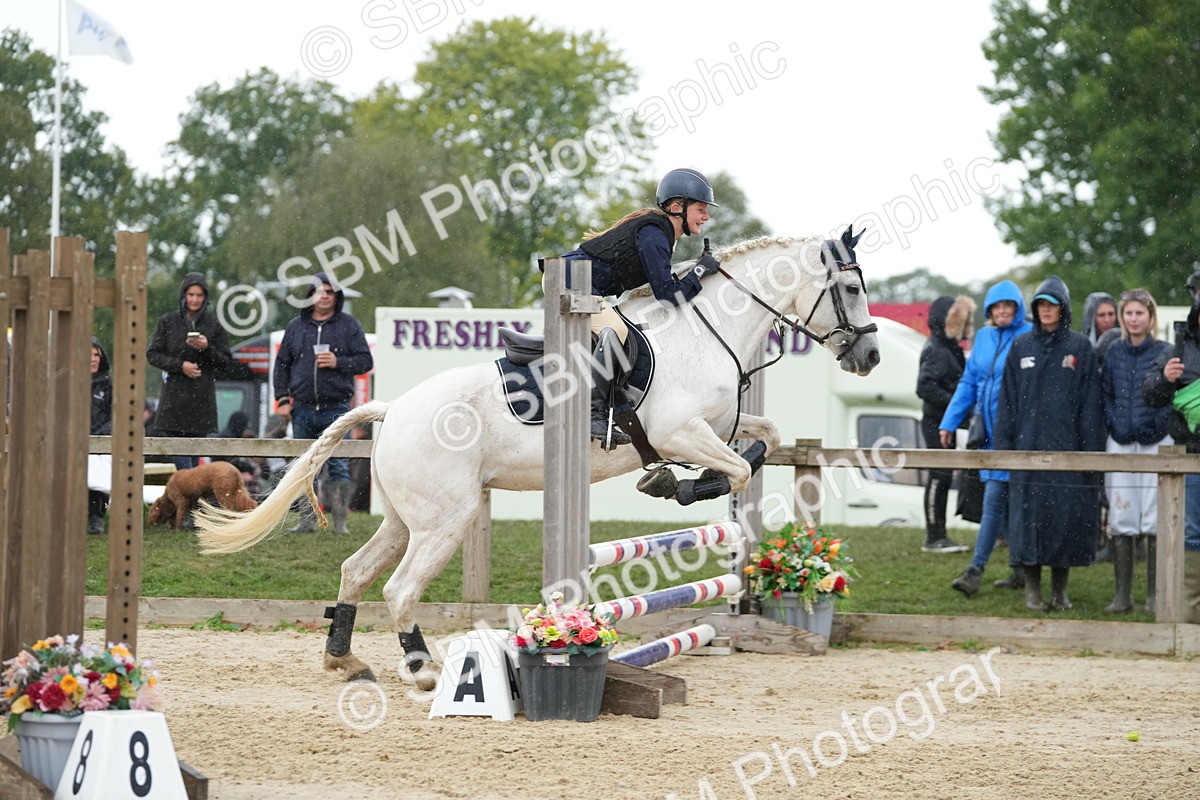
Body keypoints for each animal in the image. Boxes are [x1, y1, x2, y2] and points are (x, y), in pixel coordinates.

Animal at [194, 228, 880, 688]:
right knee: (399, 587)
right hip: (445, 520)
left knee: (357, 570)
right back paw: (422, 669)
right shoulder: (679, 430)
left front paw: (695, 486)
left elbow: (763, 440)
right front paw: (680, 486)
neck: (705, 327)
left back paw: (345, 658)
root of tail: (393, 409)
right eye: (849, 287)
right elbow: (733, 470)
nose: (869, 357)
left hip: (405, 518)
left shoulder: (715, 424)